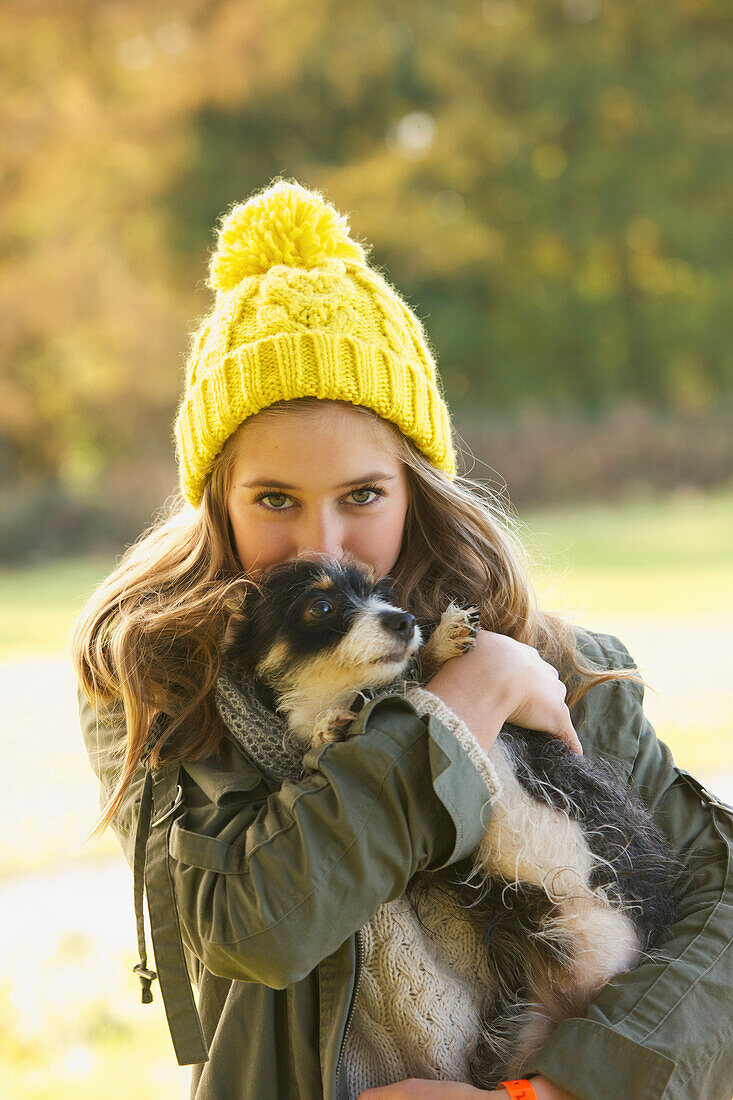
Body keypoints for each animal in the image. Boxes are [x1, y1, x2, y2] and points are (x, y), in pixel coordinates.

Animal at [217, 554, 677, 1086]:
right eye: (321, 605)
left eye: (381, 594)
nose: (403, 620)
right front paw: (329, 726)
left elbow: (415, 676)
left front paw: (442, 641)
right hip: (521, 1033)